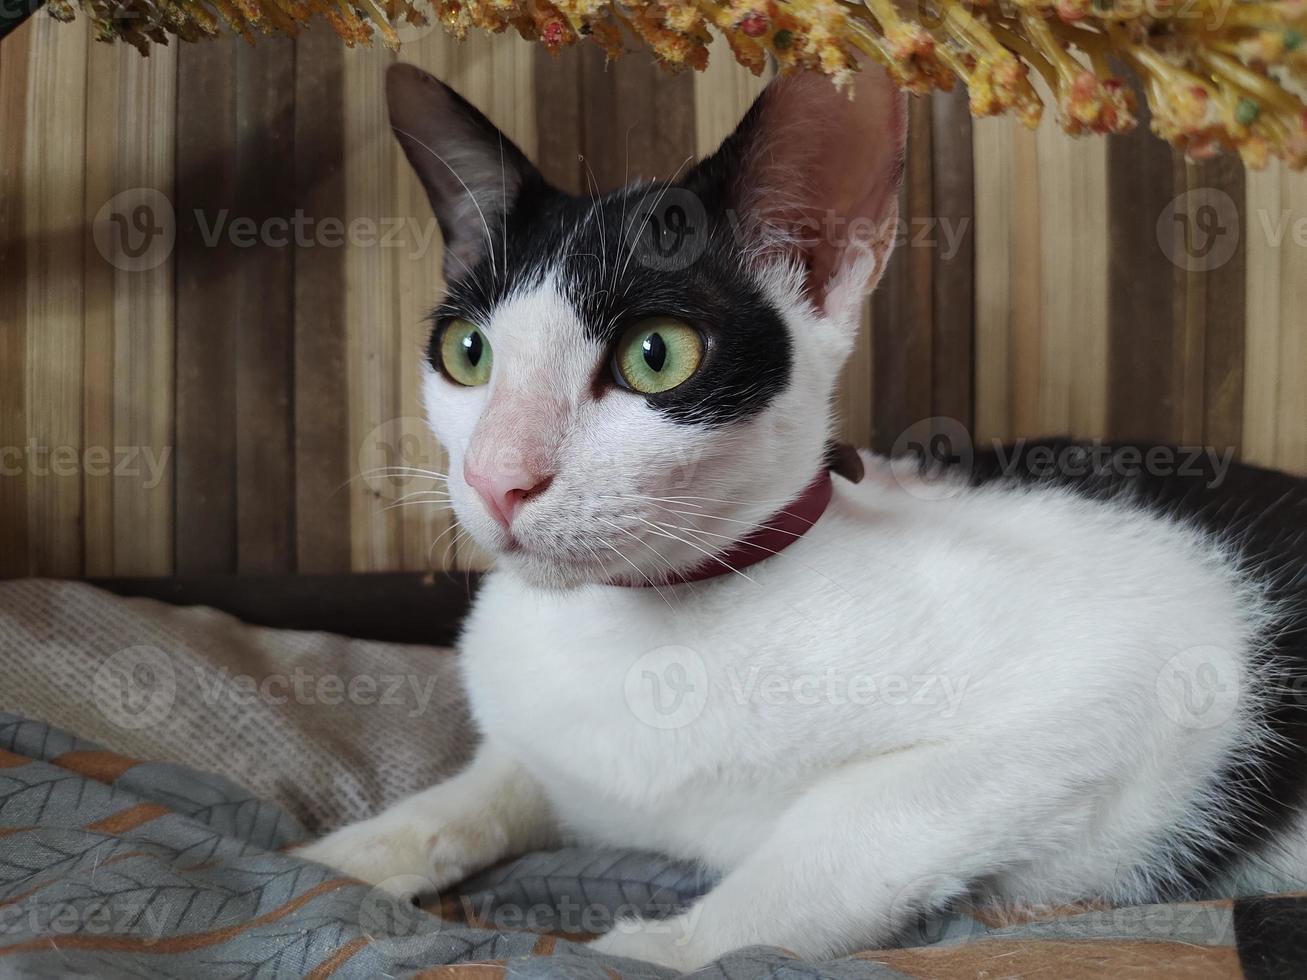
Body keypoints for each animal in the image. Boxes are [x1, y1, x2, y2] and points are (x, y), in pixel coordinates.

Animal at [296, 61, 1307, 977]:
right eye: (468, 353)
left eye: (655, 355)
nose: (499, 476)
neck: (641, 631)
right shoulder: (540, 746)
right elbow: (479, 789)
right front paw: (347, 855)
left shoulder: (1139, 671)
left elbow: (845, 830)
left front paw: (658, 946)